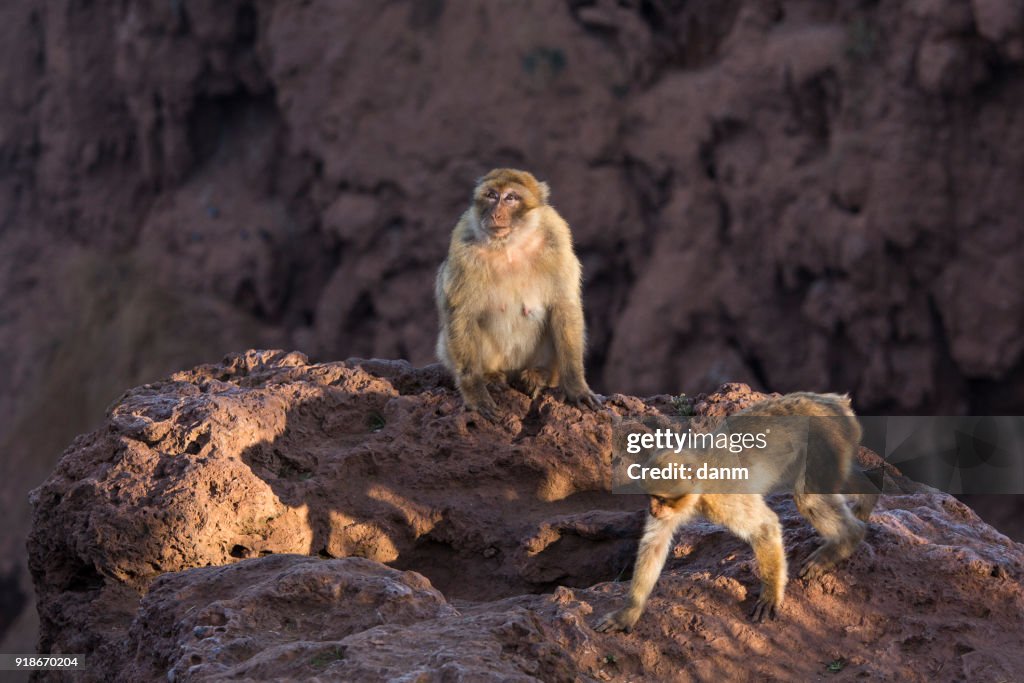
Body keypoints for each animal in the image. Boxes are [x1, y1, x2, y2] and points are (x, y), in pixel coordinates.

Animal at [435, 168, 601, 420]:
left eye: (511, 198)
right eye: (491, 195)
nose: (496, 213)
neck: (509, 245)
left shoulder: (558, 238)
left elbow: (564, 306)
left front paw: (576, 386)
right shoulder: (463, 245)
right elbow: (461, 314)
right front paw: (475, 393)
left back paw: (540, 375)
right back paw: (491, 377)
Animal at [595, 392, 879, 632]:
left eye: (662, 499)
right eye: (651, 498)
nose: (653, 510)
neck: (700, 488)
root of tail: (834, 400)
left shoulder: (724, 499)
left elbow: (765, 526)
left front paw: (770, 594)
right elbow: (654, 544)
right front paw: (628, 614)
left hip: (827, 432)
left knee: (809, 496)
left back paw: (849, 538)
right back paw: (868, 496)